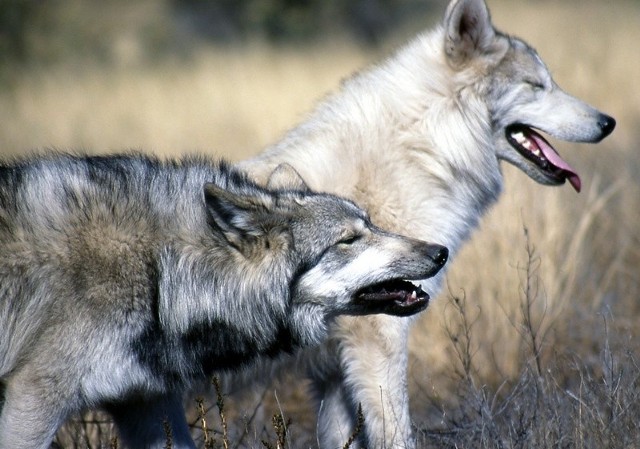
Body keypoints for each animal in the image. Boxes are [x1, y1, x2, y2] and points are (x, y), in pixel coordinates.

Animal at [0, 152, 448, 446]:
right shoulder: (33, 396)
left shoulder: (144, 402)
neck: (162, 271)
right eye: (349, 240)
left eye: (371, 224)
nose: (441, 252)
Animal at [234, 0, 616, 444]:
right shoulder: (379, 344)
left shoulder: (332, 373)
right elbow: (398, 436)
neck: (424, 152)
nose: (608, 122)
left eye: (548, 81)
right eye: (536, 85)